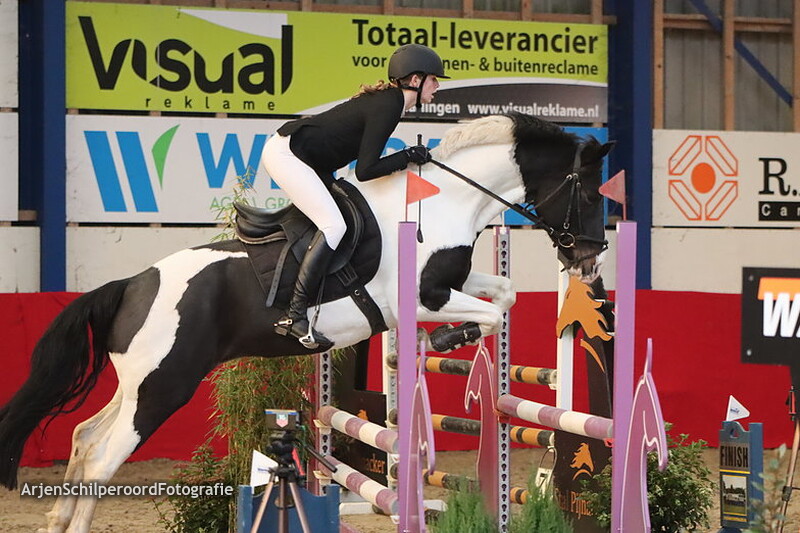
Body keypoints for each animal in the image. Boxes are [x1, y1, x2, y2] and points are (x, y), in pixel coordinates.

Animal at [0, 112, 612, 533]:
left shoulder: (450, 287)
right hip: (162, 388)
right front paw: (445, 339)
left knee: (84, 438)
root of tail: (132, 283)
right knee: (102, 460)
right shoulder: (427, 298)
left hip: (138, 386)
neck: (445, 202)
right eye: (587, 192)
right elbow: (487, 314)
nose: (590, 260)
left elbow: (504, 295)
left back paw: (56, 521)